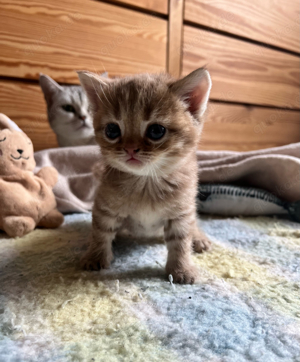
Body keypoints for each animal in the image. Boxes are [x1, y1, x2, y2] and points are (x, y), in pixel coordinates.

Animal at [78, 68, 212, 282]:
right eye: (112, 130)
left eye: (156, 130)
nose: (130, 149)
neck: (146, 183)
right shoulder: (104, 208)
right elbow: (100, 232)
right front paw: (95, 256)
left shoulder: (181, 213)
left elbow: (181, 241)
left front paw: (181, 269)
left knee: (193, 223)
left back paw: (199, 238)